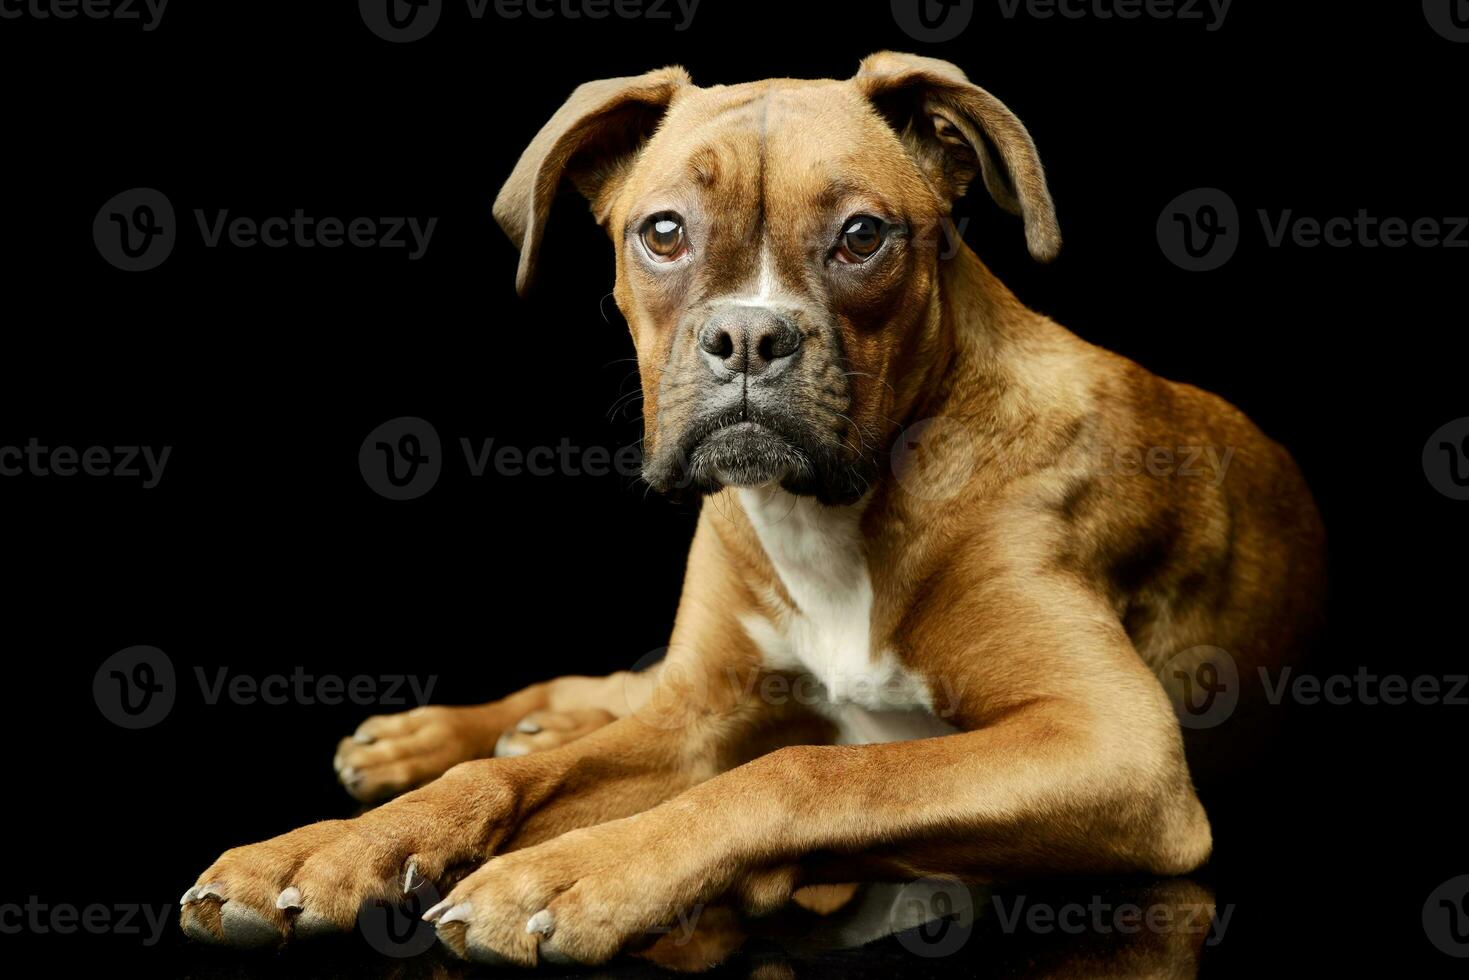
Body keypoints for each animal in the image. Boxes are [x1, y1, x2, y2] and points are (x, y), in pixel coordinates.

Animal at [177, 51, 1327, 963]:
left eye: (862, 235)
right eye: (663, 231)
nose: (745, 336)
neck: (836, 519)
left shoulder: (1111, 747)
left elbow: (803, 771)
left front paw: (576, 873)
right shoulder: (693, 720)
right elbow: (505, 782)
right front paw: (326, 848)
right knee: (588, 700)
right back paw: (434, 736)